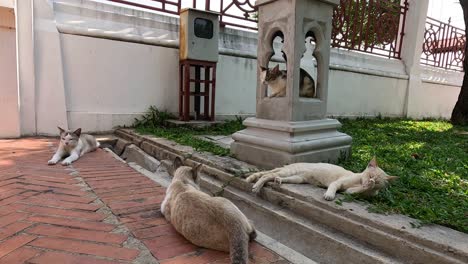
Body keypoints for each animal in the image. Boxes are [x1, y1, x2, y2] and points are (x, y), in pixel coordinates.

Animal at [245, 158, 398, 201]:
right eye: (370, 176)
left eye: (378, 182)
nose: (370, 181)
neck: (358, 180)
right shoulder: (338, 182)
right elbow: (333, 187)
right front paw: (329, 195)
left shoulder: (349, 191)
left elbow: (354, 191)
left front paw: (368, 187)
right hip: (289, 171)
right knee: (266, 175)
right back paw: (257, 186)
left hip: (297, 179)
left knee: (278, 177)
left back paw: (278, 181)